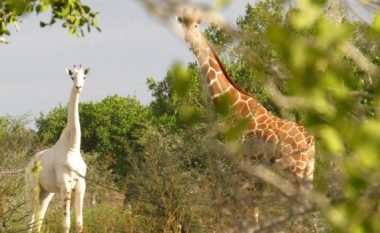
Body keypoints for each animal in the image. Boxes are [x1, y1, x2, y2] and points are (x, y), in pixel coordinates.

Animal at [25, 66, 90, 233]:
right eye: (72, 77)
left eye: (84, 77)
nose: (78, 87)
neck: (72, 148)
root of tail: (29, 164)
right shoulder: (65, 185)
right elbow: (66, 223)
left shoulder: (81, 185)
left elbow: (79, 224)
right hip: (32, 188)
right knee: (30, 219)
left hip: (46, 193)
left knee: (38, 220)